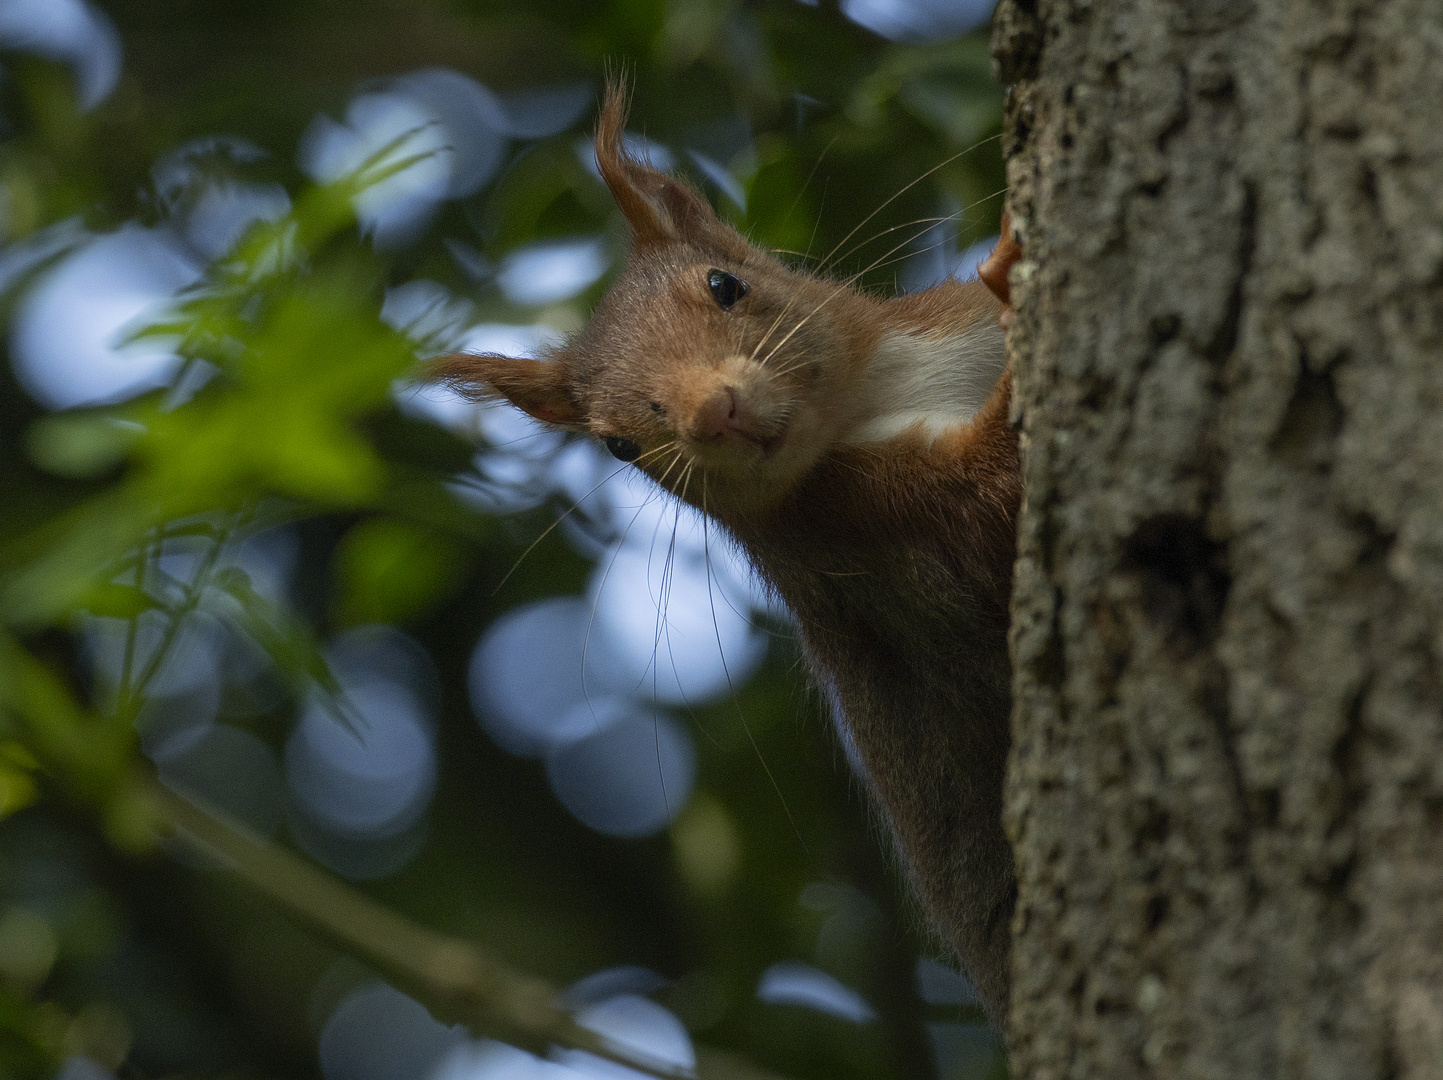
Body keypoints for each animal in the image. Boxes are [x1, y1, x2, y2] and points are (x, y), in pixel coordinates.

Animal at [435, 88, 1027, 1028]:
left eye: (724, 283)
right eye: (617, 447)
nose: (711, 413)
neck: (877, 391)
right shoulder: (879, 531)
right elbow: (986, 512)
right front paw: (1010, 279)